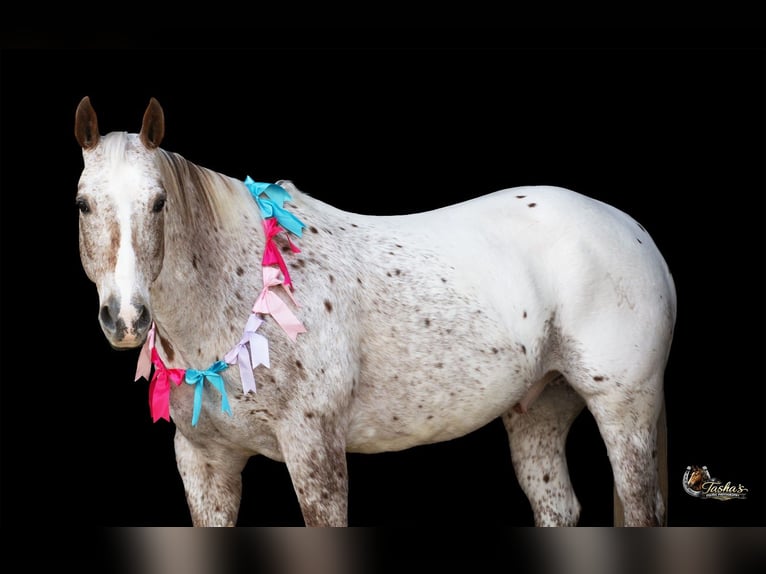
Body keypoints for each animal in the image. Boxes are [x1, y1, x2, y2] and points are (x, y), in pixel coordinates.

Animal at [74, 96, 676, 527]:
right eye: (83, 204)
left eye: (159, 203)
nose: (126, 319)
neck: (241, 295)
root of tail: (634, 231)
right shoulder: (204, 463)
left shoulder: (315, 449)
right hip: (540, 410)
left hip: (625, 410)